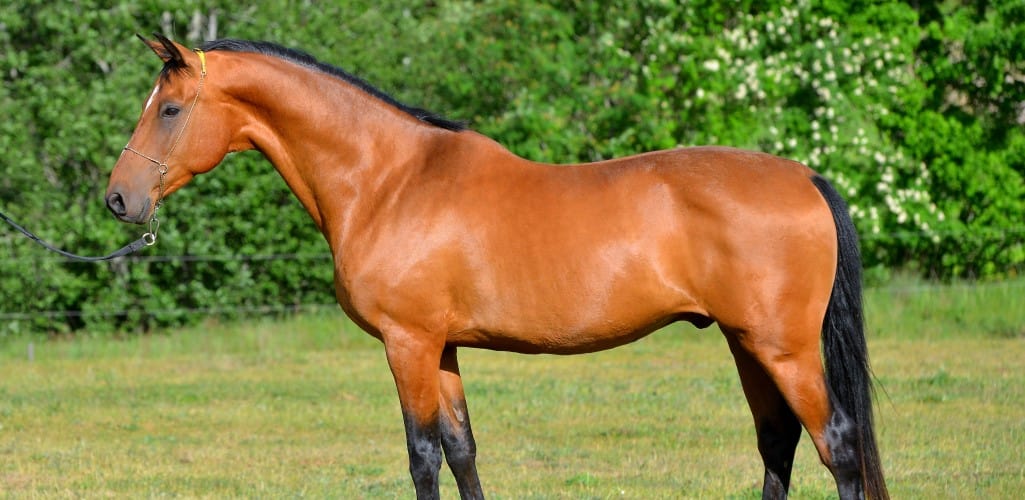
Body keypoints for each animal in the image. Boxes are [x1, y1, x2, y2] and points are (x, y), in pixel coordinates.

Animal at [106, 36, 889, 500]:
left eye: (169, 108)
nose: (119, 198)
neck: (389, 180)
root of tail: (804, 177)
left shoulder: (408, 343)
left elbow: (422, 454)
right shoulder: (442, 347)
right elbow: (461, 449)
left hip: (782, 348)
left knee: (837, 443)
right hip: (746, 344)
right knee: (778, 441)